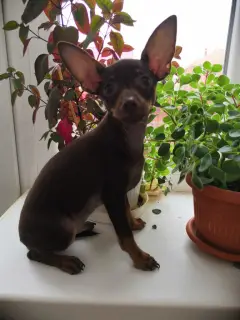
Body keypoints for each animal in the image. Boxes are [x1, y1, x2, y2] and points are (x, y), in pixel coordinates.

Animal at [18, 15, 176, 276]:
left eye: (145, 80)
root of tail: (22, 237)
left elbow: (126, 213)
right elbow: (124, 236)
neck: (127, 137)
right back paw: (66, 261)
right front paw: (140, 258)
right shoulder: (112, 194)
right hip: (62, 231)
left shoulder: (120, 193)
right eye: (108, 88)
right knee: (35, 253)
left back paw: (85, 228)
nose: (129, 102)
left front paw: (134, 223)